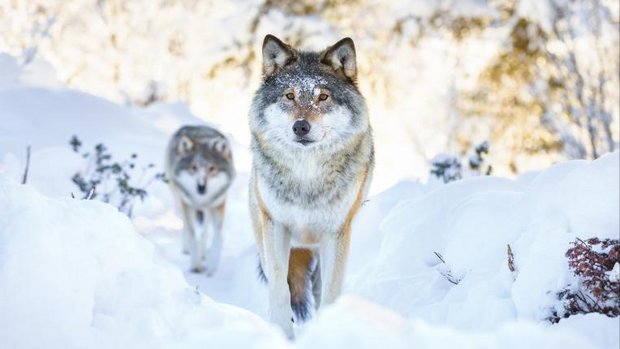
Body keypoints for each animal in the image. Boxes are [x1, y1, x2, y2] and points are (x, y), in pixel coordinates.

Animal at [165, 125, 235, 274]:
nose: (201, 186)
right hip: (179, 200)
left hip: (207, 210)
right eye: (194, 167)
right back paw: (187, 248)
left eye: (212, 168)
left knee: (205, 231)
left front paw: (212, 264)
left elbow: (218, 237)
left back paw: (203, 253)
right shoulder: (187, 204)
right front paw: (196, 265)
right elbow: (192, 234)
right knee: (186, 225)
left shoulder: (218, 205)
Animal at [249, 34, 376, 338]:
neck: (306, 177)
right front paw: (281, 334)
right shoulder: (275, 227)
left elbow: (330, 293)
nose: (301, 127)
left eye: (323, 97)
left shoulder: (337, 232)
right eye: (289, 96)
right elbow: (279, 290)